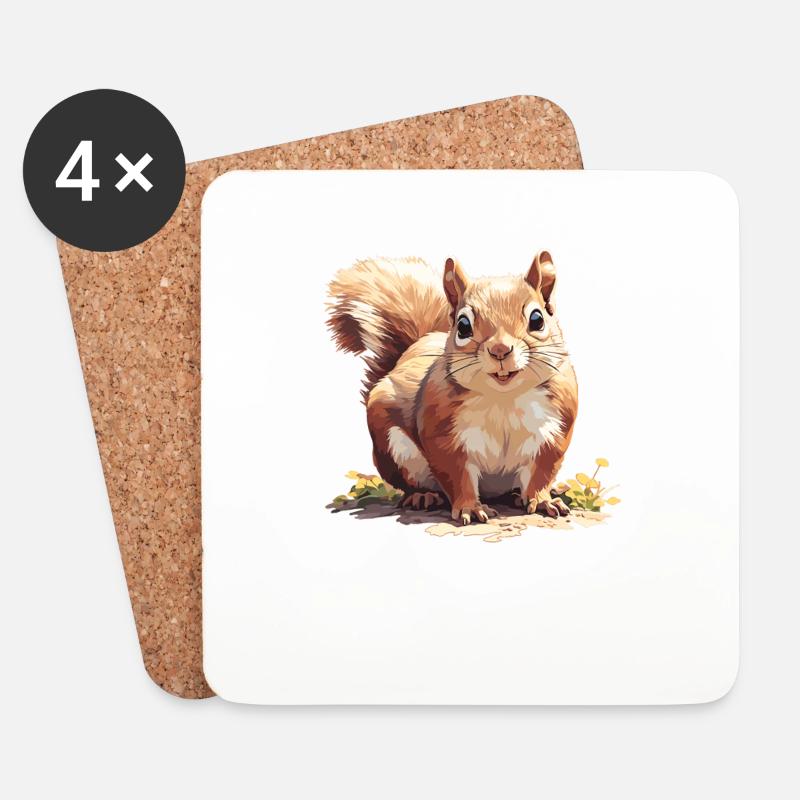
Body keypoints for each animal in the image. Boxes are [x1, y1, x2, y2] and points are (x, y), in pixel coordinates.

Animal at [326, 253, 578, 524]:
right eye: (463, 326)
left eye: (537, 320)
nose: (500, 350)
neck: (504, 398)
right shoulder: (443, 435)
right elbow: (458, 476)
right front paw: (470, 508)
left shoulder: (554, 431)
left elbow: (540, 474)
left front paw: (542, 501)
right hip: (394, 449)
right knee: (410, 482)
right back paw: (422, 496)